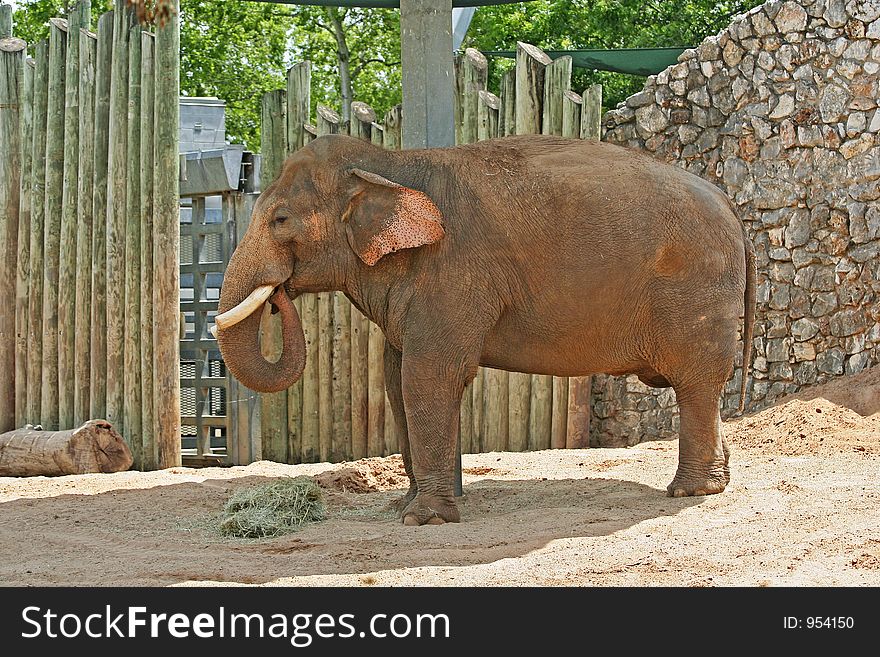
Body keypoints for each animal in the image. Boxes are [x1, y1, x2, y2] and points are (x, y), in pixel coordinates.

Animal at [215, 131, 756, 524]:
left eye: (280, 219)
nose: (278, 296)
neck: (391, 163)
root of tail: (729, 201)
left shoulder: (451, 273)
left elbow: (428, 377)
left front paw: (426, 520)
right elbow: (395, 378)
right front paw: (402, 508)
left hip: (697, 289)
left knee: (696, 383)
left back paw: (689, 490)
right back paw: (717, 480)